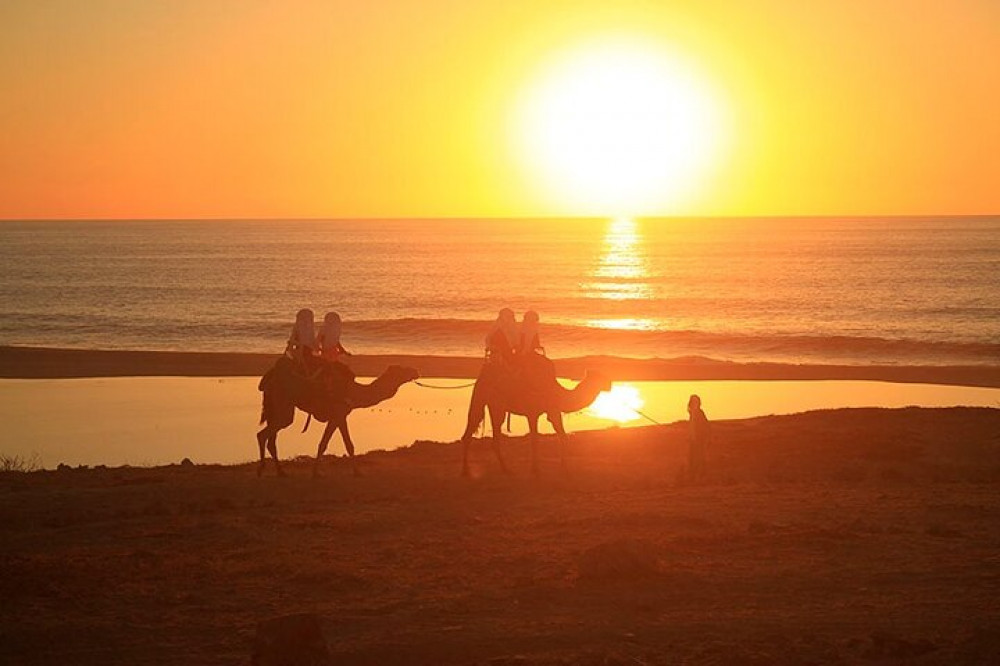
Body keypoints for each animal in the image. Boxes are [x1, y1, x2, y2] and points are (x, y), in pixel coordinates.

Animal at [258, 358, 418, 478]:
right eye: (401, 369)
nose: (415, 371)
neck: (354, 392)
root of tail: (269, 379)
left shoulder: (340, 417)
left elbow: (340, 444)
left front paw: (318, 472)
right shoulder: (337, 415)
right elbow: (332, 444)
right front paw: (355, 472)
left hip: (277, 407)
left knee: (270, 439)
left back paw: (280, 472)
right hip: (283, 405)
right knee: (263, 434)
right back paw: (264, 470)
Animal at [458, 358, 608, 478]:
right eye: (600, 377)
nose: (609, 386)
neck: (558, 392)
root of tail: (482, 376)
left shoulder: (545, 412)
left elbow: (551, 436)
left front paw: (557, 468)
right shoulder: (539, 411)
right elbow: (541, 439)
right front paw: (542, 469)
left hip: (488, 402)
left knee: (482, 433)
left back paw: (499, 470)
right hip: (491, 402)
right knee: (482, 431)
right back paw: (473, 470)